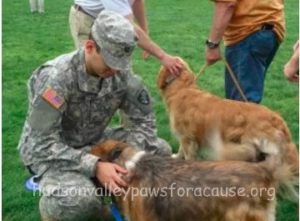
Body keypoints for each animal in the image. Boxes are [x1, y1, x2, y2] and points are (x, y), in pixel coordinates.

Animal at [157, 60, 298, 174]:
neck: (182, 89)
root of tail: (276, 117)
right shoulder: (188, 137)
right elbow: (181, 150)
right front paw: (176, 157)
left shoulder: (187, 138)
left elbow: (187, 154)